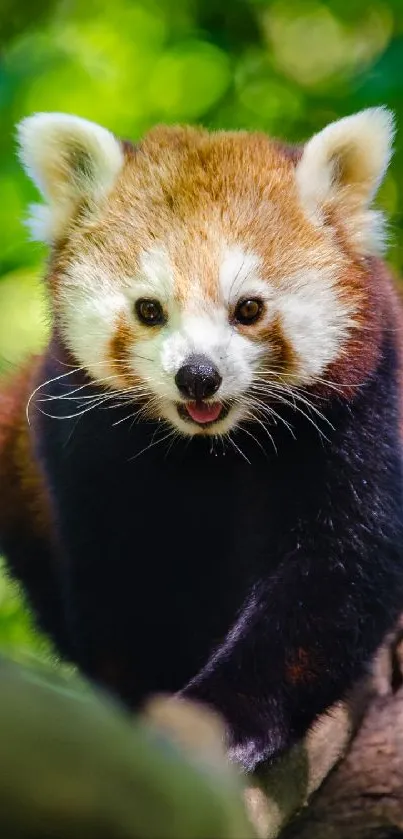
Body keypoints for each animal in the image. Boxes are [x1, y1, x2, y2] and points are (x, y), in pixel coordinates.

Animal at [0, 108, 403, 772]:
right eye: (149, 309)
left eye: (248, 308)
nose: (198, 375)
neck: (213, 450)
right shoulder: (82, 449)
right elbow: (121, 588)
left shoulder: (365, 415)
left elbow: (333, 576)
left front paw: (225, 719)